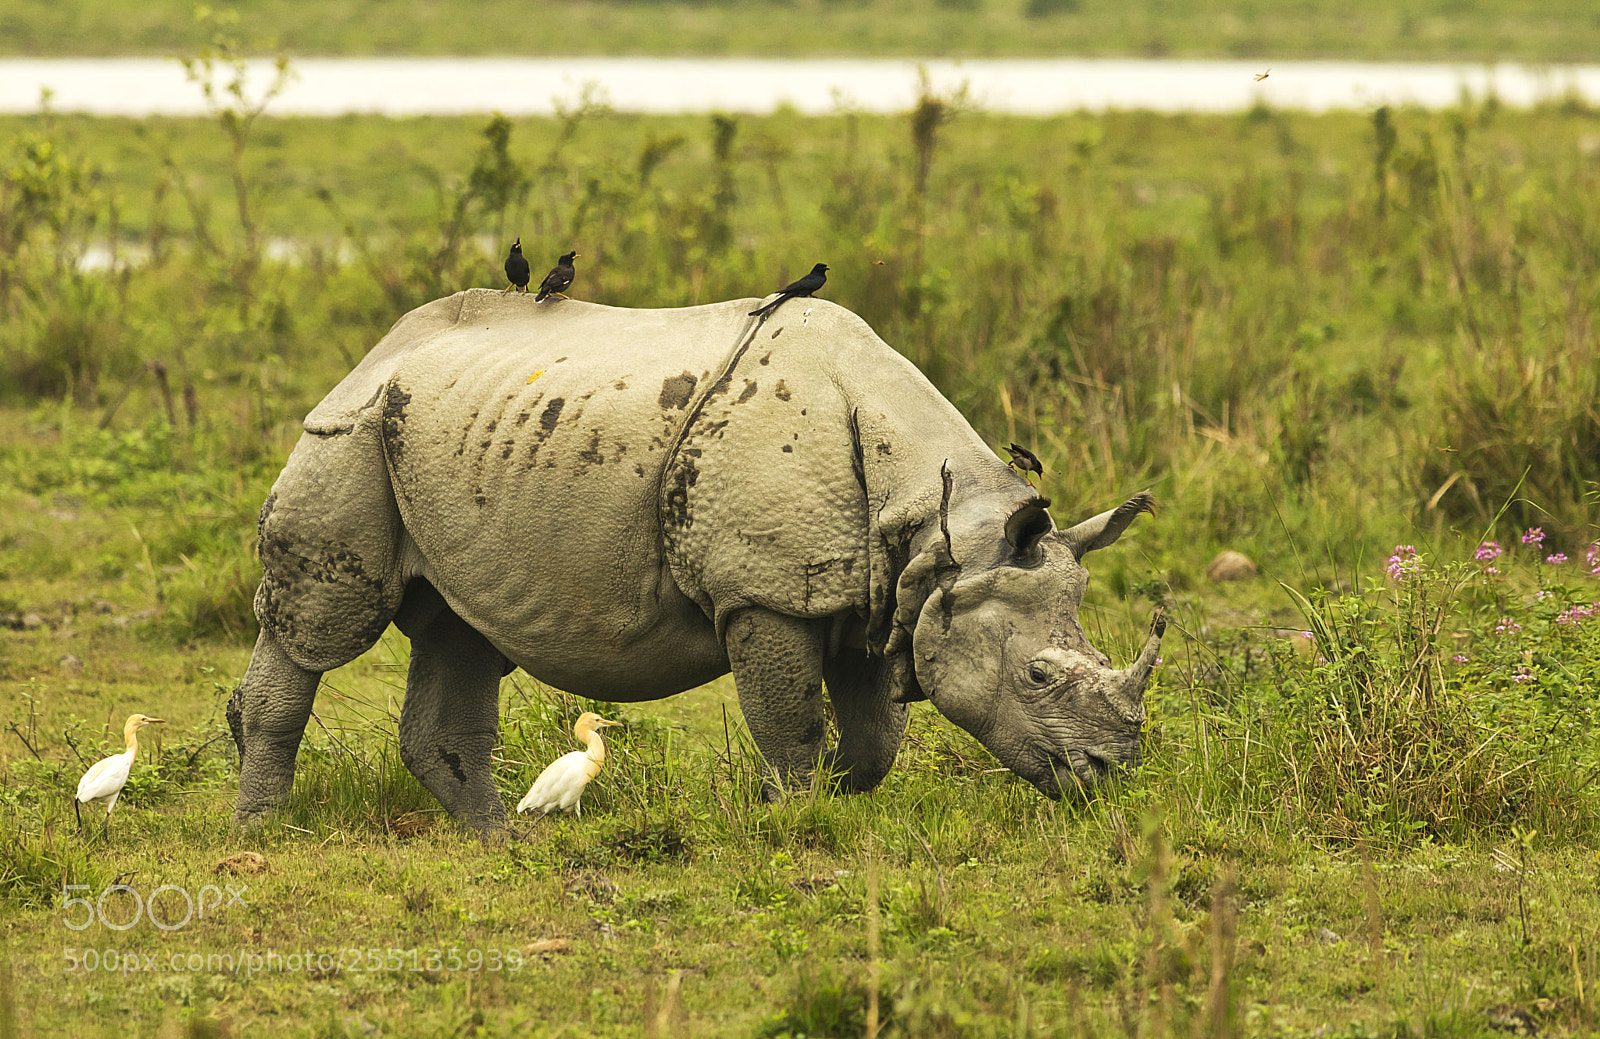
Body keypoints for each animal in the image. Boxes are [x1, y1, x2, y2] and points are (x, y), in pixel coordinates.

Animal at [227, 288, 1165, 834]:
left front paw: (820, 789)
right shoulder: (765, 591)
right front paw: (791, 816)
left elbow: (874, 741)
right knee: (322, 627)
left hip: (442, 437)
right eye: (1037, 676)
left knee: (461, 631)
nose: (1109, 773)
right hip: (344, 436)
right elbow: (791, 721)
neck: (942, 527)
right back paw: (260, 832)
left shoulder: (876, 589)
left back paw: (499, 837)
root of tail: (374, 353)